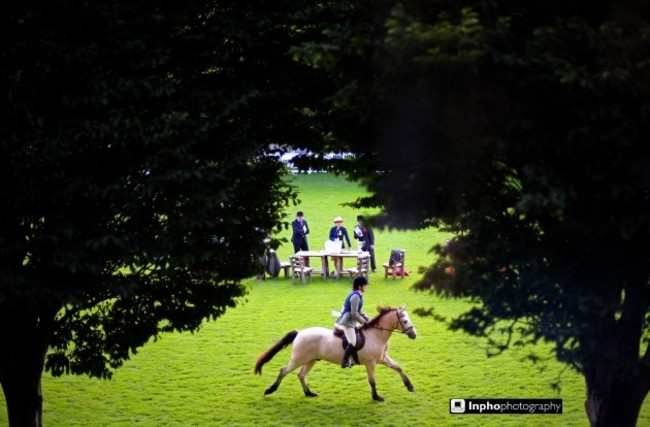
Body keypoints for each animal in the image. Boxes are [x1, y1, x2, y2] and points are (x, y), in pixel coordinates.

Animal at [253, 306, 416, 402]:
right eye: (405, 321)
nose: (414, 335)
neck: (376, 335)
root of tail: (299, 332)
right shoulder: (371, 363)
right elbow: (372, 381)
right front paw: (376, 397)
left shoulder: (382, 359)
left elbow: (398, 367)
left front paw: (410, 386)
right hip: (298, 359)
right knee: (284, 371)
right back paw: (270, 390)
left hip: (311, 360)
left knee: (301, 375)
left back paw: (309, 393)